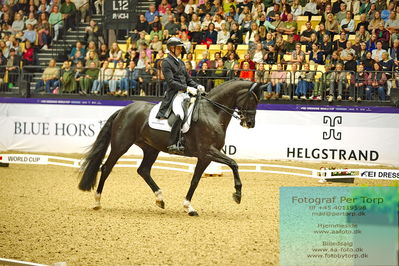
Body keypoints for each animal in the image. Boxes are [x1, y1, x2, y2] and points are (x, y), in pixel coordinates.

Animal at [79, 79, 264, 216]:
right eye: (253, 99)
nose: (250, 123)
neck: (212, 112)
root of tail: (124, 109)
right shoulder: (208, 151)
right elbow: (234, 164)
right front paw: (237, 195)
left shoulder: (205, 157)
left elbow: (195, 180)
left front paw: (189, 207)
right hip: (121, 145)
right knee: (106, 168)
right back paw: (97, 201)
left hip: (151, 148)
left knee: (143, 170)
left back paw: (160, 199)